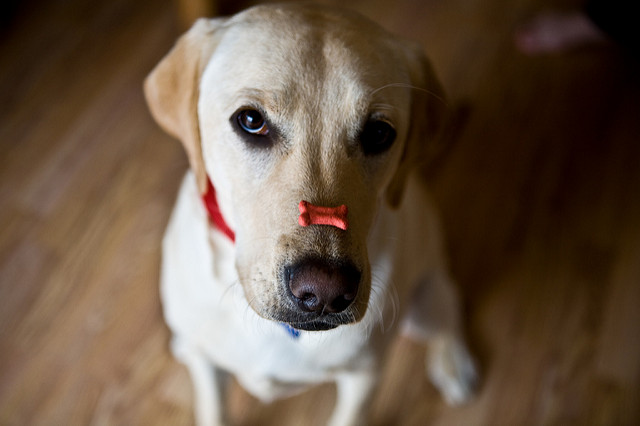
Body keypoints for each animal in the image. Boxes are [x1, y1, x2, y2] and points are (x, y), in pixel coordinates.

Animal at [144, 4, 476, 426]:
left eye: (379, 133)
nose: (325, 292)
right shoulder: (207, 365)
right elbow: (213, 408)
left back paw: (455, 362)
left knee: (448, 307)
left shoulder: (365, 374)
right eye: (251, 121)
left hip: (424, 301)